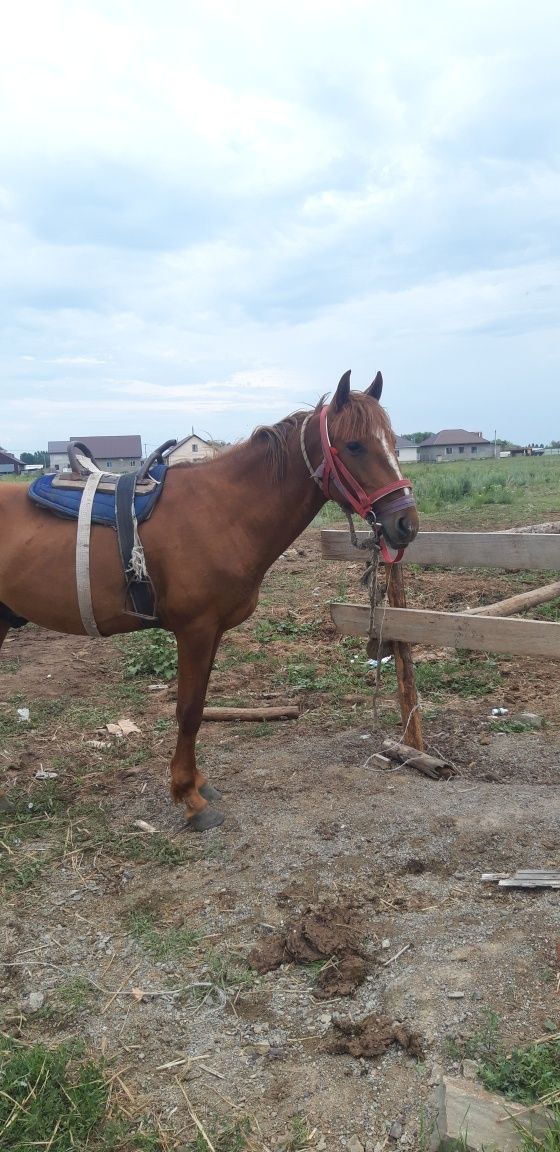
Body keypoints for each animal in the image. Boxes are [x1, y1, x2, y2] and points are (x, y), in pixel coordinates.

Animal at [0, 368, 417, 829]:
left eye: (393, 441)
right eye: (355, 445)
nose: (406, 523)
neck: (222, 511)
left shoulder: (212, 631)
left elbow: (198, 710)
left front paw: (197, 783)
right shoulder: (195, 630)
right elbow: (187, 711)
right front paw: (188, 797)